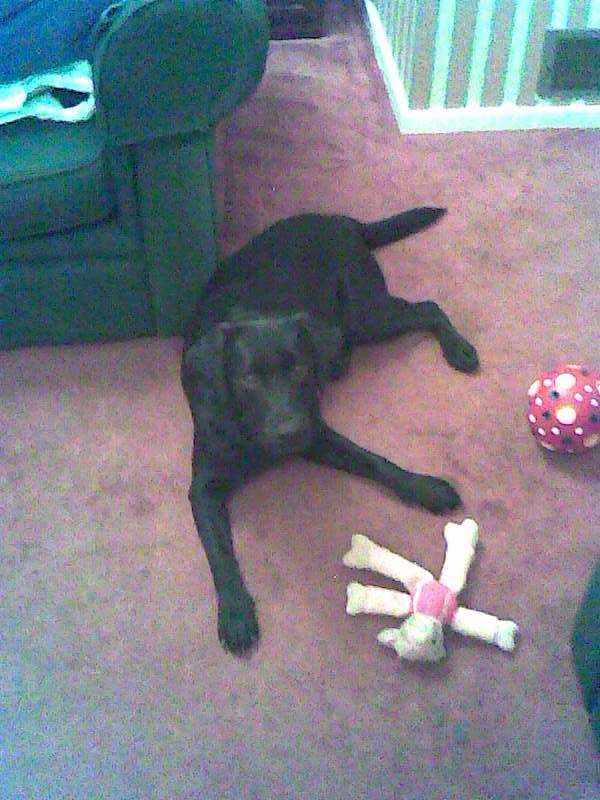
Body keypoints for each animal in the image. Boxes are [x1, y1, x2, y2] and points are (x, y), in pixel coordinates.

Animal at [181, 207, 479, 656]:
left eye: (299, 368)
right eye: (248, 378)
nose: (288, 433)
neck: (252, 429)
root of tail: (344, 220)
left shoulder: (316, 433)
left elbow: (376, 462)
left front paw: (424, 487)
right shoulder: (204, 486)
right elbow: (220, 553)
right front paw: (234, 612)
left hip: (363, 314)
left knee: (427, 307)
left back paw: (458, 349)